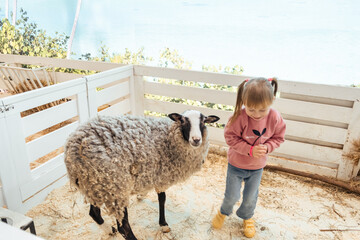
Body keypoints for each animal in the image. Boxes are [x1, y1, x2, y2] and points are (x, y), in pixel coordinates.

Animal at [64, 109, 219, 239]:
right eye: (183, 120)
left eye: (203, 122)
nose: (196, 140)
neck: (168, 138)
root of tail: (74, 149)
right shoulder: (161, 176)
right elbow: (162, 199)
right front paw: (163, 225)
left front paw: (141, 195)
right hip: (115, 187)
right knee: (123, 227)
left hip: (95, 186)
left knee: (94, 213)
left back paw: (109, 230)